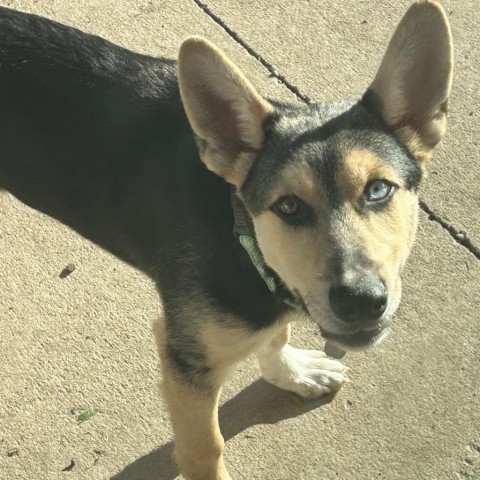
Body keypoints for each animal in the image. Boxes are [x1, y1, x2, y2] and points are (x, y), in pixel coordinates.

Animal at [0, 1, 452, 478]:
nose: (360, 302)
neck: (238, 233)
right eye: (288, 206)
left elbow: (276, 335)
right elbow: (205, 449)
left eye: (378, 189)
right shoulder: (187, 363)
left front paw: (291, 373)